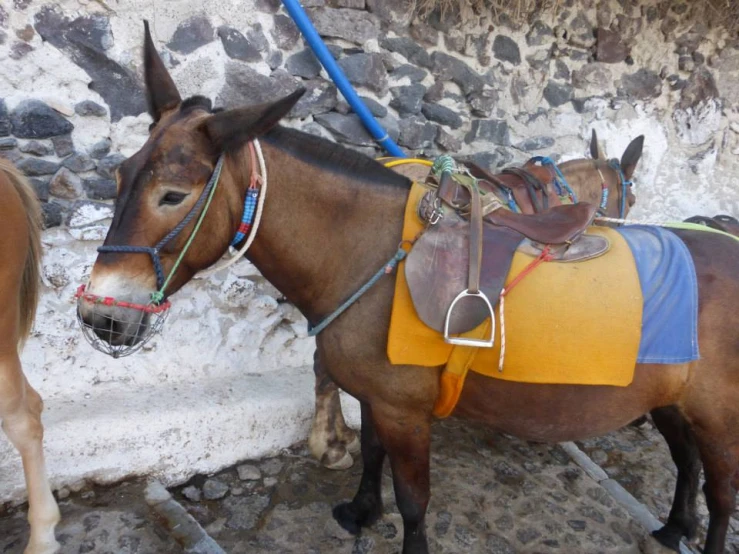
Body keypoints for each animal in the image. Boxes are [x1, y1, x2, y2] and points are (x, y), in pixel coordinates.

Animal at [76, 25, 739, 552]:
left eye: (174, 195)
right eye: (120, 176)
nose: (98, 313)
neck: (371, 258)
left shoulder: (406, 411)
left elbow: (415, 500)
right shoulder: (375, 397)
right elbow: (371, 454)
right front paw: (360, 512)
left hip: (717, 417)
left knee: (722, 496)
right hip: (672, 400)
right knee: (688, 465)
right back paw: (673, 526)